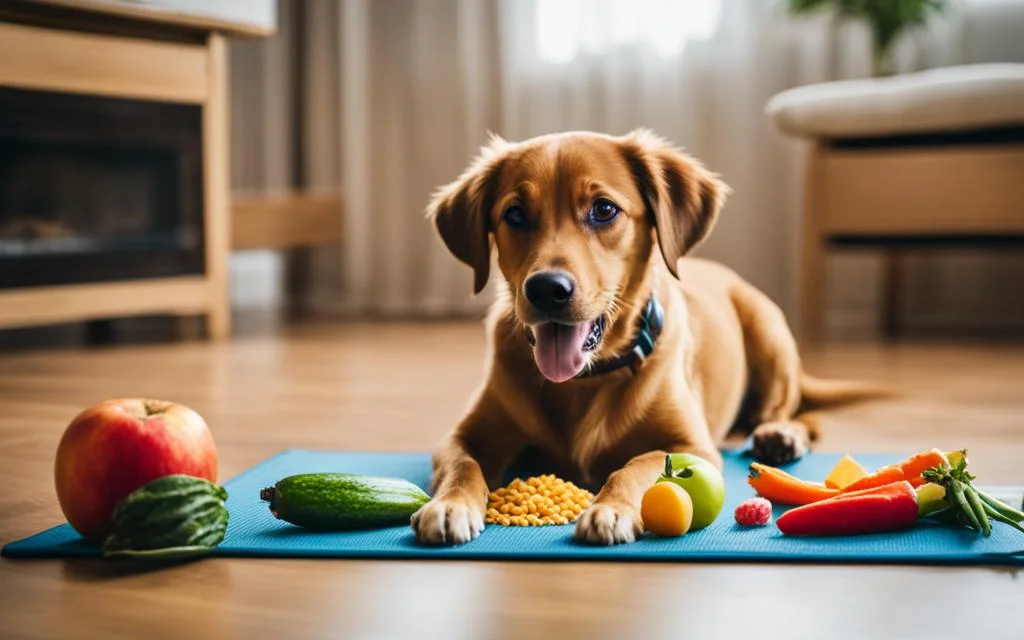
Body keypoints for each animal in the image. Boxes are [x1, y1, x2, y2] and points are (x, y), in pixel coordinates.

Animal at [411, 128, 884, 544]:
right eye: (514, 214)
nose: (546, 290)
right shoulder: (463, 435)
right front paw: (449, 505)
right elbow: (462, 466)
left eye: (604, 209)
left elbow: (639, 464)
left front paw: (611, 508)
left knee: (793, 411)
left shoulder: (690, 443)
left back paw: (780, 436)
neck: (584, 382)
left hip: (767, 328)